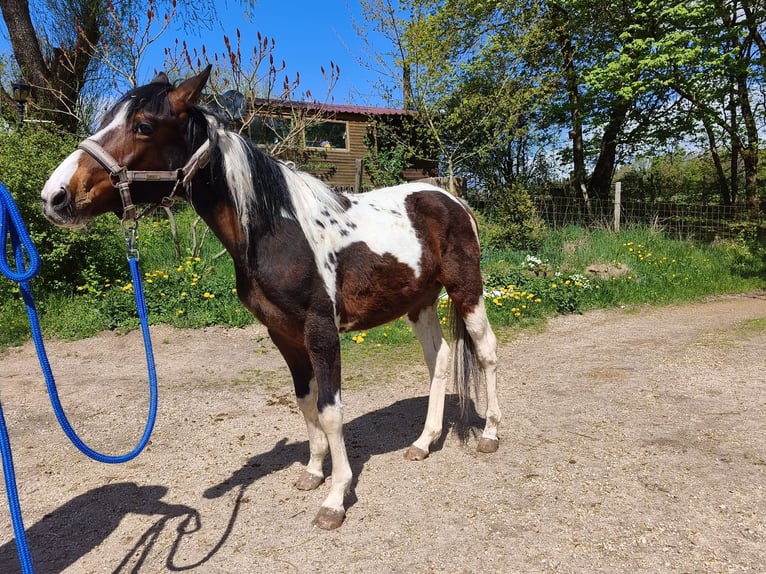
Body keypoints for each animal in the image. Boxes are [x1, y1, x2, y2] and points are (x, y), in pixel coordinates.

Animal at [40, 67, 500, 530]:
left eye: (144, 126)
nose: (55, 196)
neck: (276, 231)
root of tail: (452, 200)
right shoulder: (284, 334)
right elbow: (305, 404)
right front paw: (313, 472)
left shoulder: (321, 332)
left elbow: (330, 410)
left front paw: (336, 499)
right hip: (419, 303)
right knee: (439, 360)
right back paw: (424, 442)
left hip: (466, 291)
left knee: (486, 352)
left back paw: (490, 434)